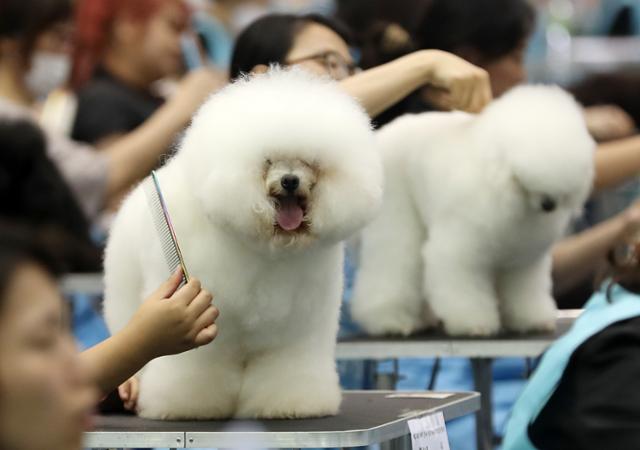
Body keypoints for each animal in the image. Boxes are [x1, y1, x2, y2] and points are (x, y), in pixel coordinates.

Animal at [103, 68, 382, 420]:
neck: (266, 248)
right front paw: (188, 405)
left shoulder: (297, 329)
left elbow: (289, 366)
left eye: (309, 162)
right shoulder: (204, 327)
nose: (290, 181)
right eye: (268, 160)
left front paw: (291, 404)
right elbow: (194, 365)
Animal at [350, 86, 596, 336]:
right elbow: (463, 287)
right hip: (397, 216)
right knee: (394, 263)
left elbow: (524, 292)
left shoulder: (522, 261)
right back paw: (391, 321)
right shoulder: (461, 251)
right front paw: (474, 324)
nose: (549, 205)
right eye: (523, 173)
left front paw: (531, 321)